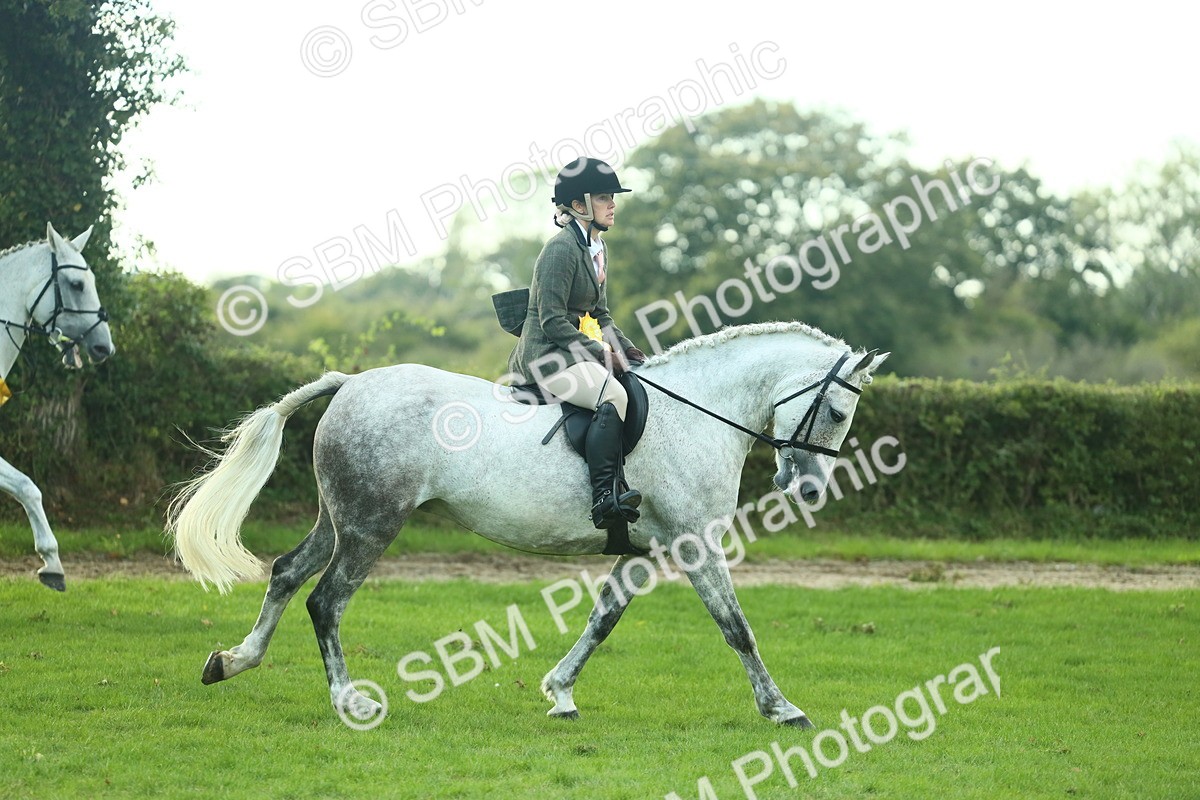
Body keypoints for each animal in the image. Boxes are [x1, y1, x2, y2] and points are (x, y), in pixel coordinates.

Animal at [0, 223, 115, 591]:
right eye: (77, 284)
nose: (105, 347)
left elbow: (27, 487)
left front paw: (51, 564)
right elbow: (27, 486)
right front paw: (51, 560)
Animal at [167, 321, 887, 727]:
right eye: (836, 412)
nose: (808, 487)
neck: (698, 412)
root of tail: (349, 383)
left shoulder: (643, 549)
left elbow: (604, 618)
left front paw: (560, 692)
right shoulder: (694, 543)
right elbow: (736, 627)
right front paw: (782, 708)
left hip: (341, 519)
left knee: (288, 573)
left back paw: (232, 661)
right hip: (372, 525)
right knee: (326, 601)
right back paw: (352, 704)